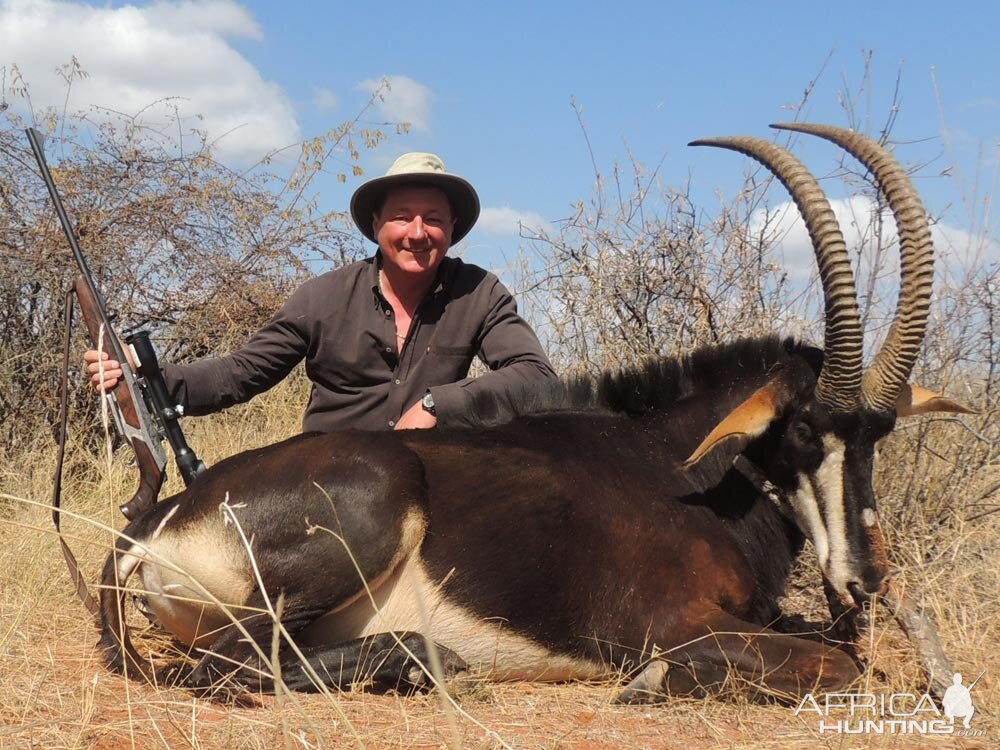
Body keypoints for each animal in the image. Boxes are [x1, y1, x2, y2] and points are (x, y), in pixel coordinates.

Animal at [97, 125, 964, 704]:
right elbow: (842, 667)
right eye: (805, 429)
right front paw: (652, 682)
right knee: (228, 668)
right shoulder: (671, 621)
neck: (684, 468)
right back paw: (427, 661)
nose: (866, 578)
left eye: (879, 436)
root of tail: (155, 524)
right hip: (367, 509)